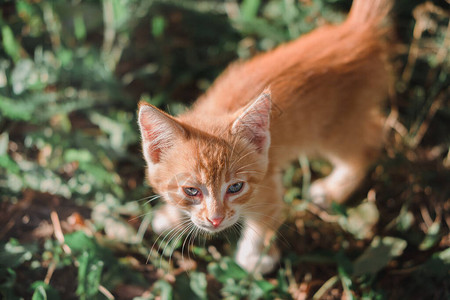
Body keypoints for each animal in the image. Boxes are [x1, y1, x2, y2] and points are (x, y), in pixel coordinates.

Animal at [139, 0, 392, 274]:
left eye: (235, 187)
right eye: (191, 191)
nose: (216, 220)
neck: (215, 111)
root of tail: (357, 30)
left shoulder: (268, 184)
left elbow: (264, 220)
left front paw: (255, 257)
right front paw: (171, 215)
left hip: (335, 130)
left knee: (371, 143)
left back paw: (333, 190)